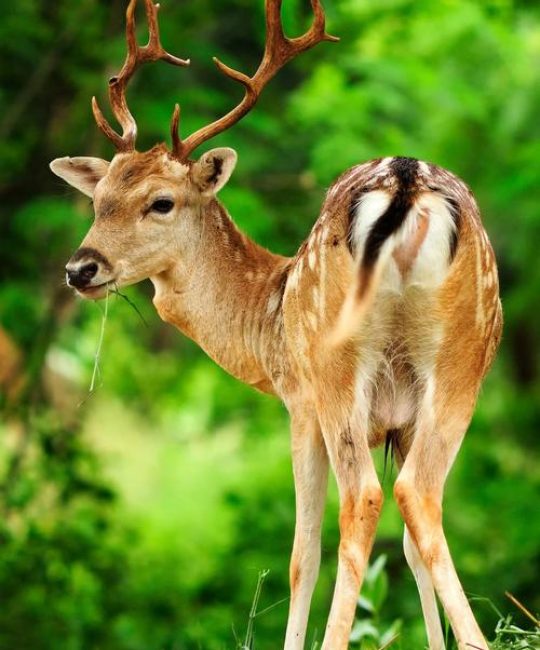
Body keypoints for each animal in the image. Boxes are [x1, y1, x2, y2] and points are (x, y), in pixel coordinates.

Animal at [49, 1, 502, 648]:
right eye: (98, 199)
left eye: (161, 202)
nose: (80, 268)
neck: (265, 319)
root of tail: (406, 184)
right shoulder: (402, 420)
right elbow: (416, 549)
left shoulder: (299, 401)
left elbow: (301, 556)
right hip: (465, 357)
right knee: (420, 494)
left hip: (337, 368)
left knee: (364, 499)